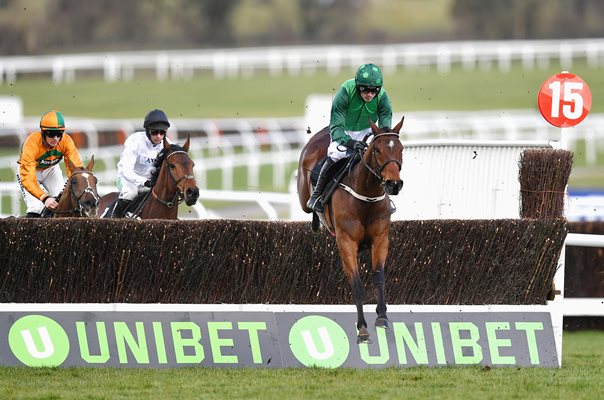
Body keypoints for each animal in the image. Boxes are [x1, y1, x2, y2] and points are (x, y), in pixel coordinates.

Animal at [294, 116, 404, 344]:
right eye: (377, 150)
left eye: (401, 149)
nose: (394, 184)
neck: (366, 196)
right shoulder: (346, 242)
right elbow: (357, 285)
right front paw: (362, 329)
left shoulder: (381, 239)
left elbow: (379, 277)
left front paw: (382, 317)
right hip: (303, 197)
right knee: (307, 206)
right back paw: (315, 213)